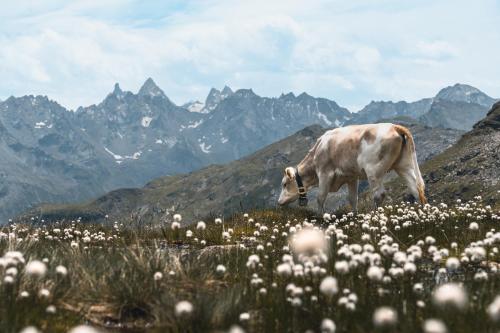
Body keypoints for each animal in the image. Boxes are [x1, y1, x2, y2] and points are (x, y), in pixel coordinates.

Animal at [278, 122, 426, 213]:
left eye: (284, 184)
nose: (279, 202)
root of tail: (394, 126)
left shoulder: (325, 173)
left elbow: (320, 198)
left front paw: (320, 218)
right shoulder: (351, 177)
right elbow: (353, 199)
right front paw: (355, 216)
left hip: (374, 171)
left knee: (379, 194)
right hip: (403, 166)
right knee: (416, 189)